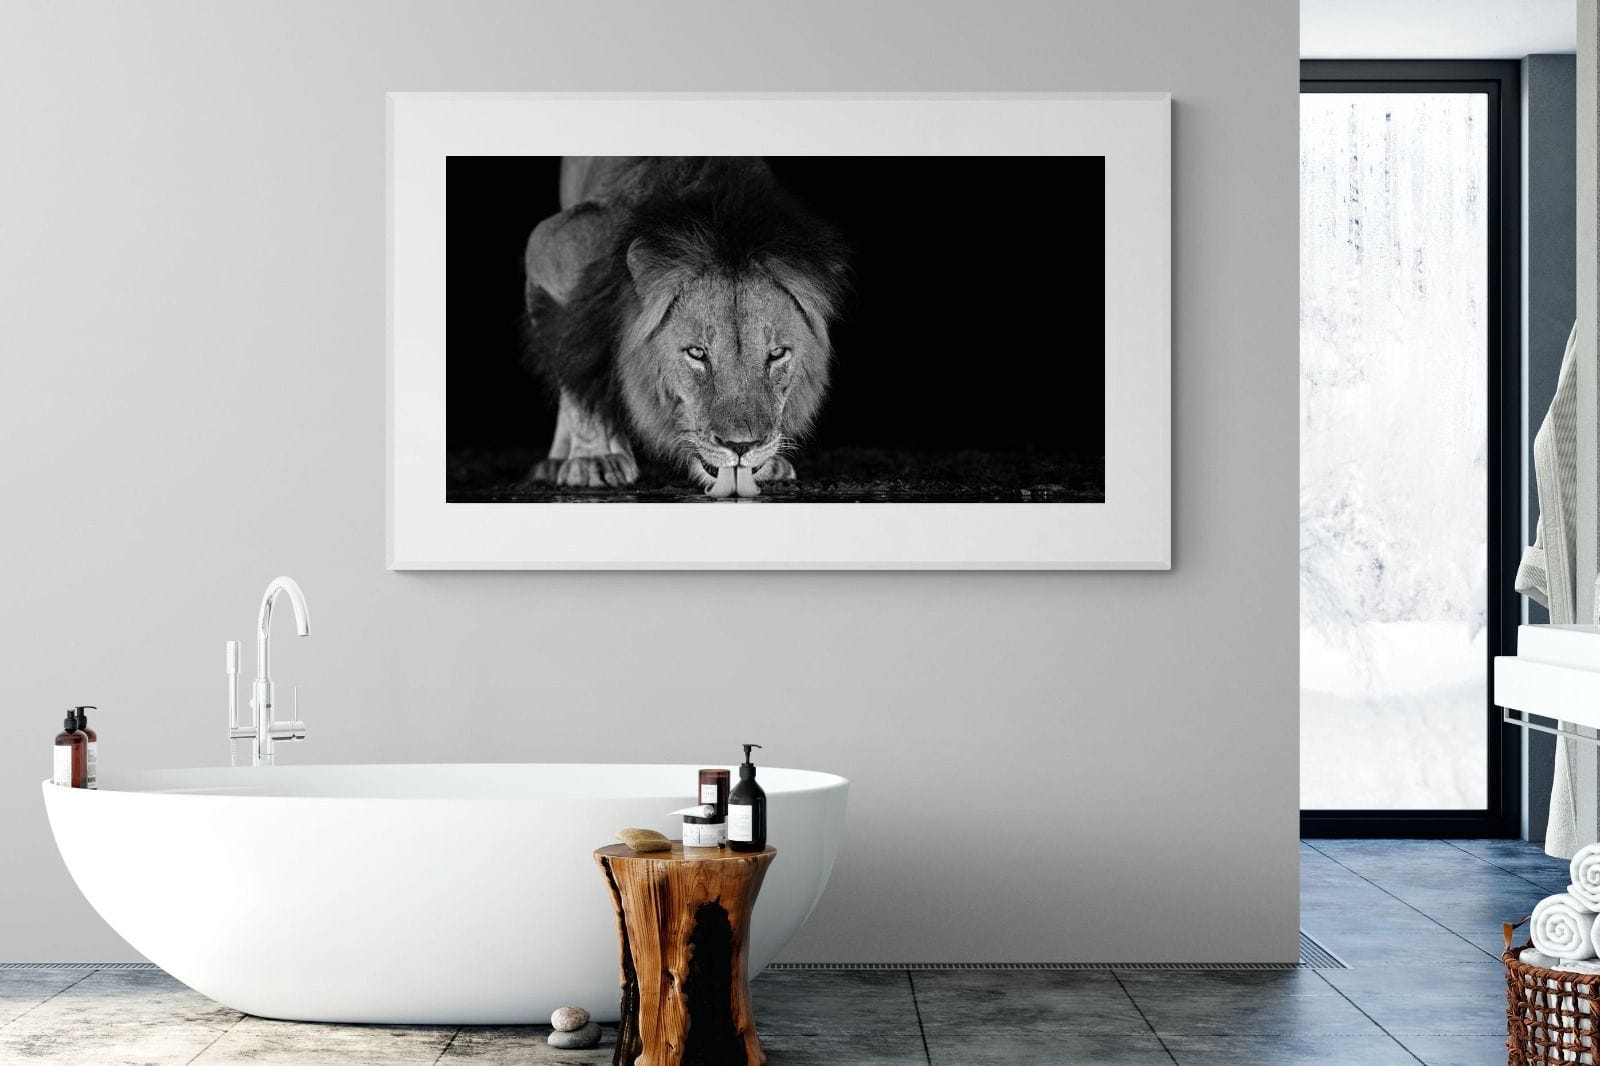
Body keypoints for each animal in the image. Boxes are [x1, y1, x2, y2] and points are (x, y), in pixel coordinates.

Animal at [520, 157, 849, 495]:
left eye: (777, 354)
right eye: (697, 353)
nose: (741, 446)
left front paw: (769, 464)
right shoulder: (550, 246)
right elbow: (577, 364)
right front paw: (593, 459)